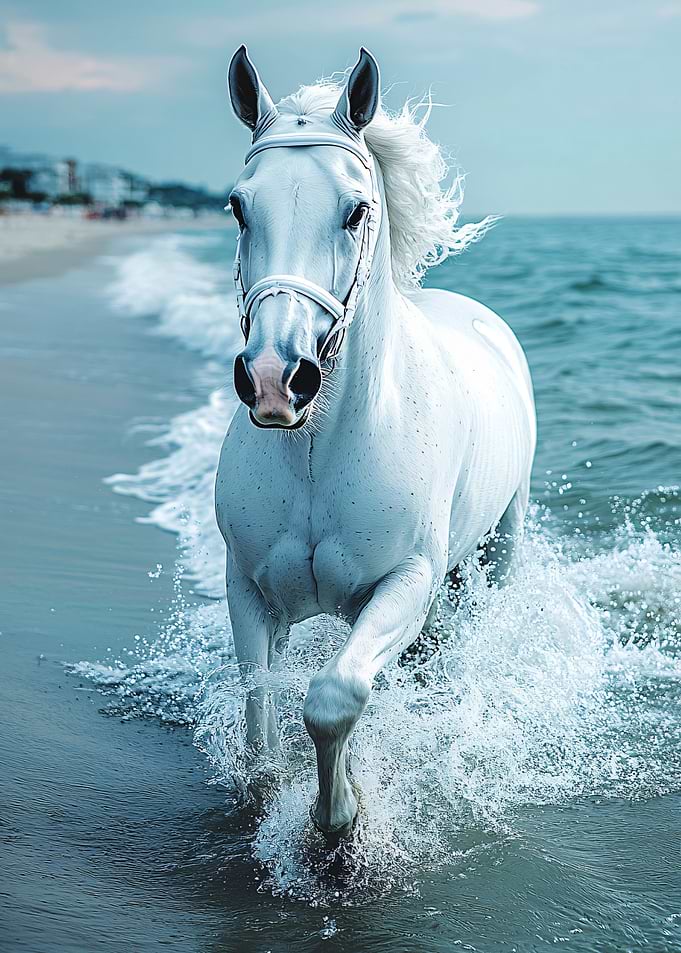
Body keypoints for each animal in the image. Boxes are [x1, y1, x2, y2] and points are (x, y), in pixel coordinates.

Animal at [215, 46, 536, 840]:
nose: (276, 379)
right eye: (239, 207)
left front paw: (340, 818)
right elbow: (261, 713)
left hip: (504, 538)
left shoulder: (405, 582)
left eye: (354, 210)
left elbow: (333, 699)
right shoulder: (248, 588)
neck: (319, 452)